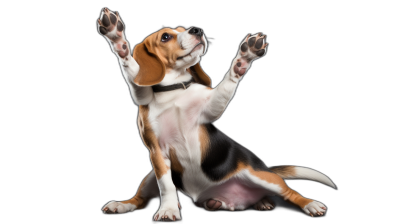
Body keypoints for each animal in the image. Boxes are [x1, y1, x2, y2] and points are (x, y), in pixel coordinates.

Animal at [98, 7, 336, 221]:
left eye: (184, 29)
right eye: (165, 36)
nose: (197, 29)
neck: (174, 89)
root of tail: (263, 167)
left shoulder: (210, 108)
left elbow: (225, 86)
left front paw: (243, 59)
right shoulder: (156, 151)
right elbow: (167, 186)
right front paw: (118, 42)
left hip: (260, 176)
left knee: (289, 192)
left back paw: (307, 204)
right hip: (150, 175)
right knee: (140, 199)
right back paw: (121, 205)